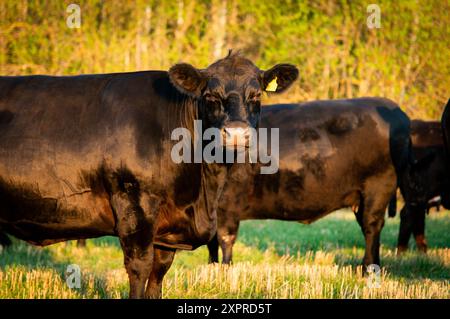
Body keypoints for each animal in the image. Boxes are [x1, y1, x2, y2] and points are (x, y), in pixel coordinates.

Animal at [0, 53, 298, 300]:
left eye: (256, 96)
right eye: (211, 96)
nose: (236, 134)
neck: (201, 193)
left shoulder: (169, 227)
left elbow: (159, 272)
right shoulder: (135, 204)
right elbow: (139, 268)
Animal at [207, 99, 412, 268]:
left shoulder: (227, 206)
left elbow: (224, 239)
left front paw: (224, 270)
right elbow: (212, 243)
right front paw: (212, 268)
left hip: (379, 186)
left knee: (372, 226)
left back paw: (368, 269)